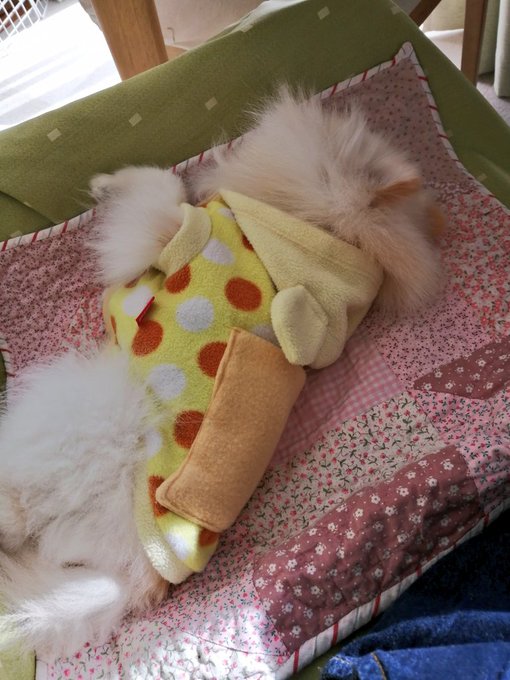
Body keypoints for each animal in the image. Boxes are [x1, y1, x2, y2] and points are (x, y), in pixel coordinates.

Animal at [0, 88, 443, 658]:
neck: (311, 226)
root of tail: (137, 575)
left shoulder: (174, 231)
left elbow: (160, 188)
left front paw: (105, 183)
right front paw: (106, 185)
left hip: (70, 411)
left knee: (20, 516)